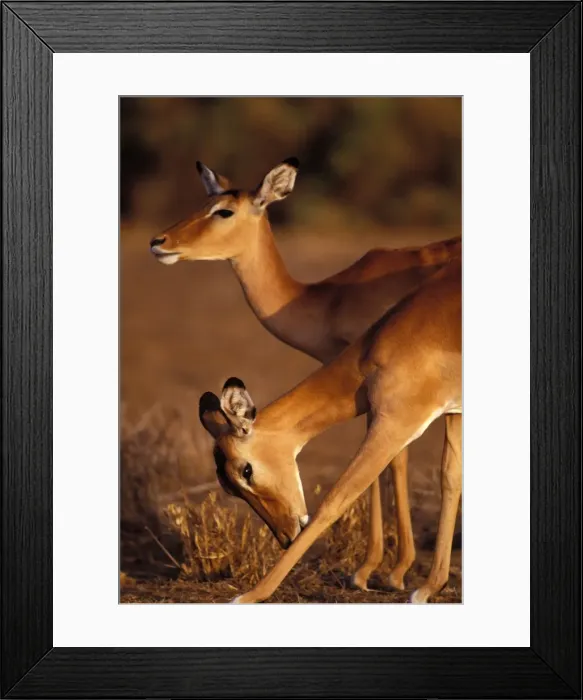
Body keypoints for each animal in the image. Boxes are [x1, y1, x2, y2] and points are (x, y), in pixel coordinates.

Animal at [200, 259, 461, 603]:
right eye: (229, 489)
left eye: (246, 471)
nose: (286, 536)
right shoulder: (455, 412)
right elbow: (451, 478)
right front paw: (431, 586)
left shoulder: (395, 422)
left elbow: (336, 499)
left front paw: (250, 595)